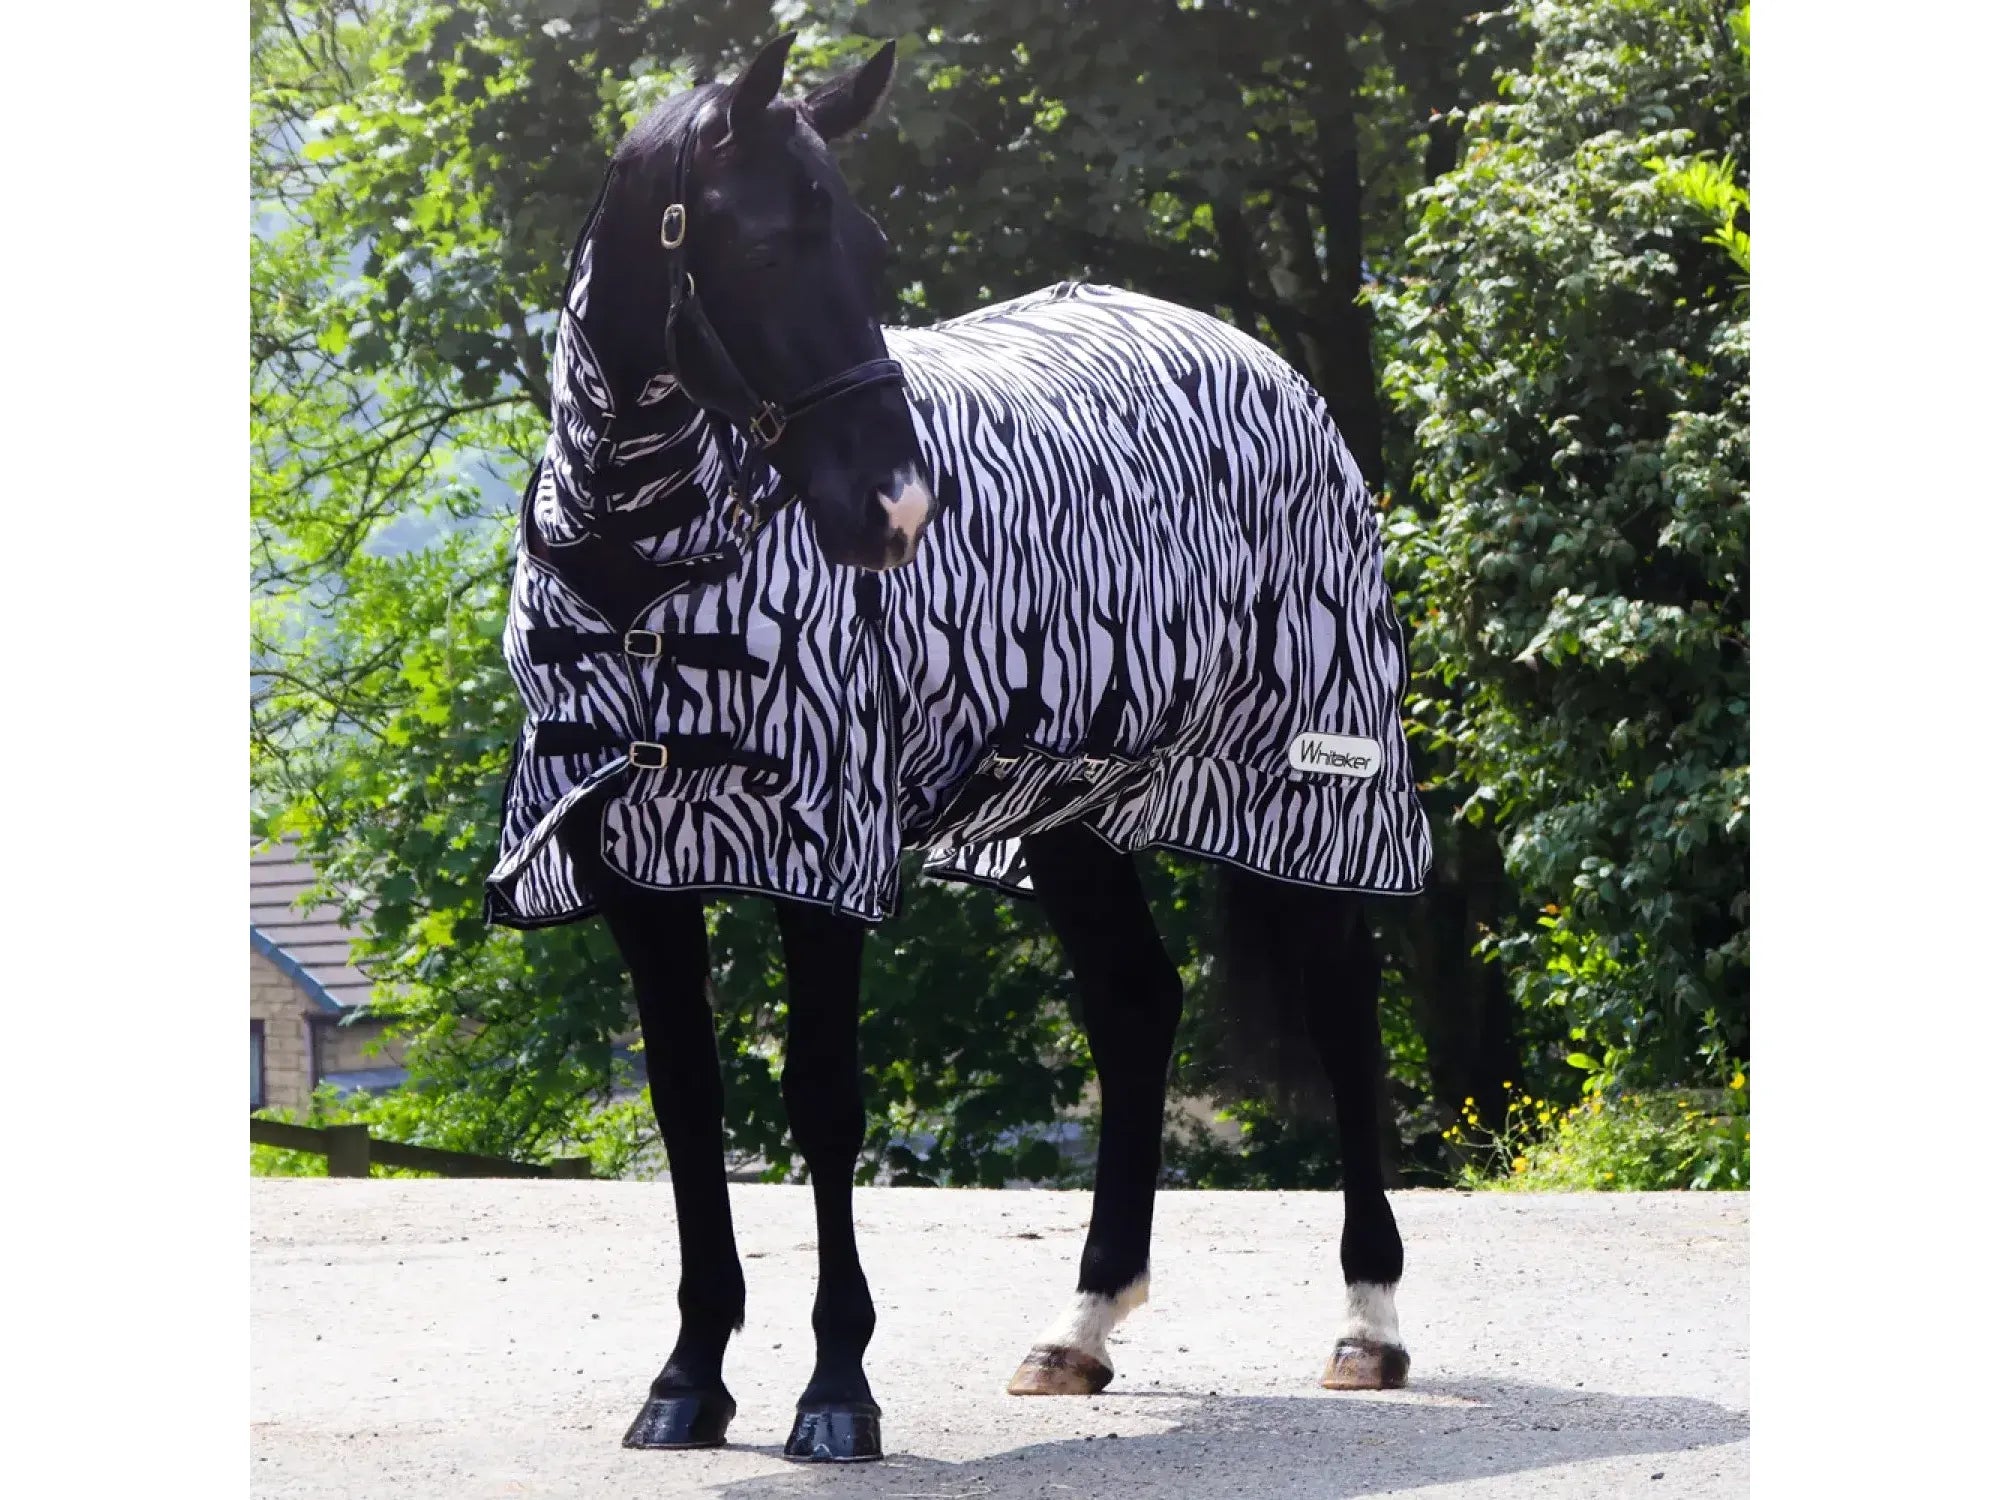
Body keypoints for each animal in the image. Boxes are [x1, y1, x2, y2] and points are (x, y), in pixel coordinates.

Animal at [485, 34, 1433, 1462]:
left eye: (868, 248)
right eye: (759, 245)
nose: (893, 511)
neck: (647, 564)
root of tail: (1249, 356)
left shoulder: (818, 846)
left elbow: (823, 1101)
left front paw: (835, 1392)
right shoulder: (634, 863)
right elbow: (688, 1104)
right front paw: (689, 1378)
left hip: (1312, 778)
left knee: (1343, 1009)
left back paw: (1367, 1326)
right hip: (1072, 803)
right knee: (1135, 1008)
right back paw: (1078, 1328)